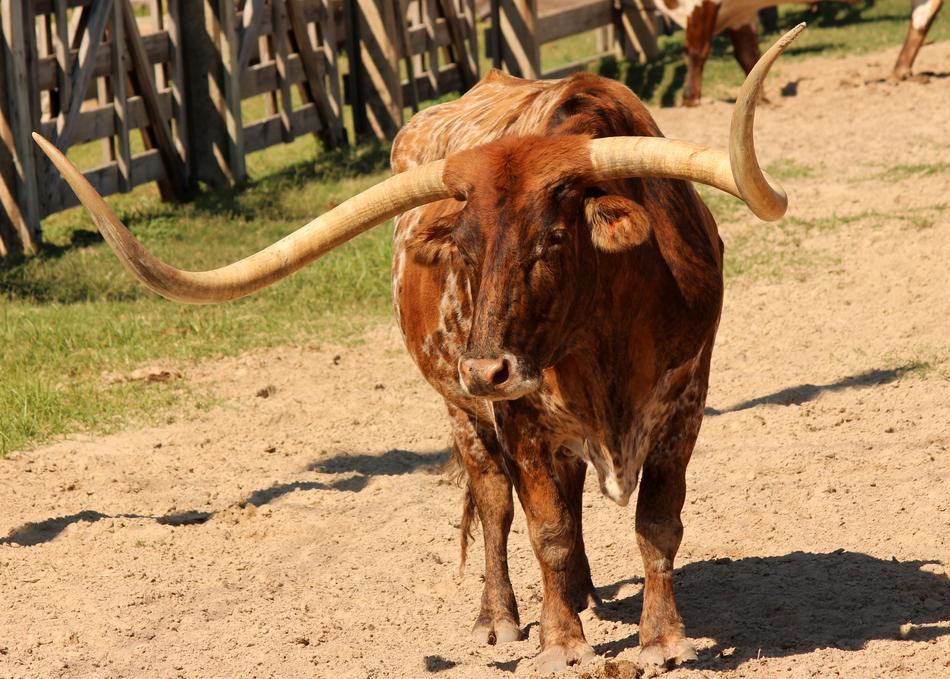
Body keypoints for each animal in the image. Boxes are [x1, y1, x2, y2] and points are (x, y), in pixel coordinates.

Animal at [33, 26, 803, 673]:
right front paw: (562, 642)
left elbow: (657, 522)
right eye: (462, 244)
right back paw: (504, 617)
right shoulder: (520, 415)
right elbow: (546, 527)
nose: (484, 366)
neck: (603, 343)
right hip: (463, 413)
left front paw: (664, 637)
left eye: (553, 238)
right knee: (497, 504)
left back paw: (582, 591)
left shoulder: (685, 401)